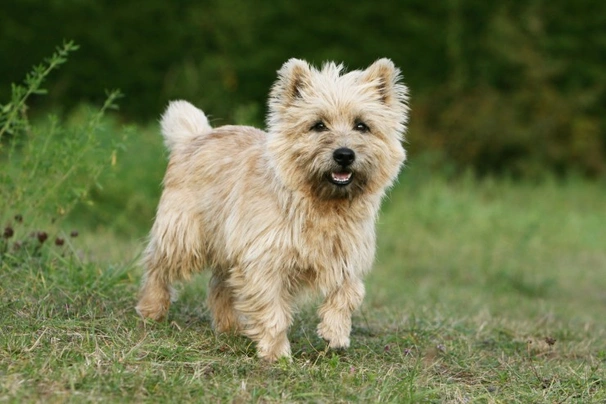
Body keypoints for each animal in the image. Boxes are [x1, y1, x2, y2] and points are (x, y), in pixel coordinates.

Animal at [137, 58, 410, 362]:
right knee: (158, 266)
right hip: (184, 235)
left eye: (362, 126)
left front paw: (335, 332)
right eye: (318, 125)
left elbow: (350, 292)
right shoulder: (264, 260)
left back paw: (230, 327)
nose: (344, 154)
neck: (322, 204)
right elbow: (273, 311)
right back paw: (151, 309)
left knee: (220, 285)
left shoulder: (345, 255)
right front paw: (277, 353)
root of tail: (194, 136)